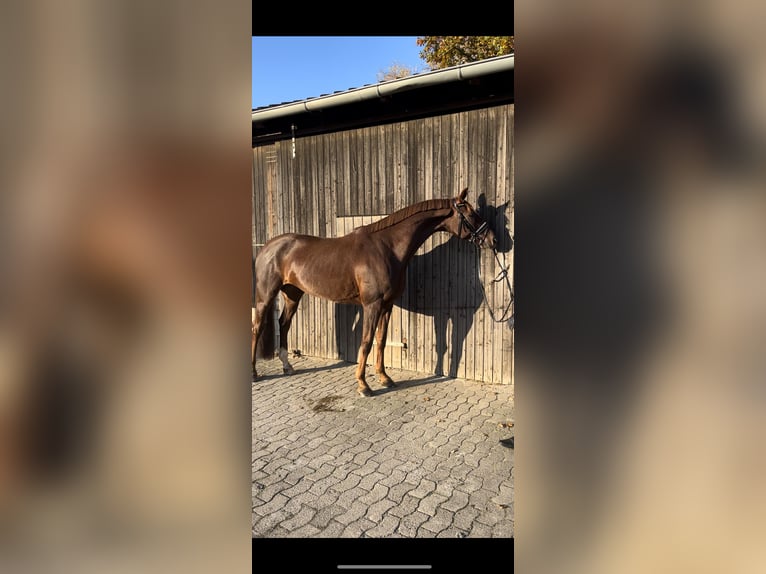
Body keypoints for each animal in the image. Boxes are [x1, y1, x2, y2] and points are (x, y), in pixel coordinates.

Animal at [249, 191, 496, 398]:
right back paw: (254, 373)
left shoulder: (387, 305)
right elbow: (366, 342)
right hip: (266, 296)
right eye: (471, 213)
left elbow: (381, 340)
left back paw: (287, 366)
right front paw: (363, 385)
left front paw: (385, 378)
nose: (493, 239)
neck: (386, 247)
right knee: (257, 327)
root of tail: (266, 247)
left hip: (293, 293)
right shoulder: (372, 305)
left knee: (283, 324)